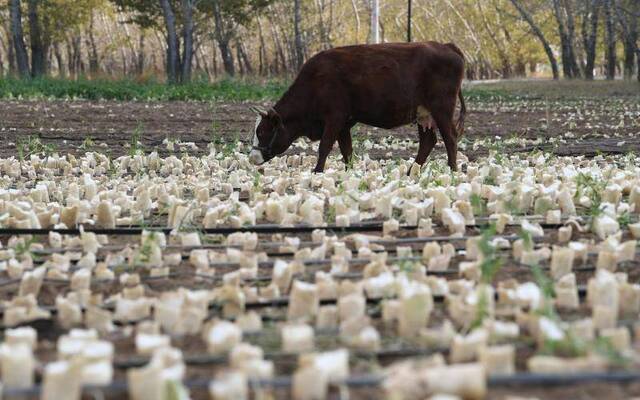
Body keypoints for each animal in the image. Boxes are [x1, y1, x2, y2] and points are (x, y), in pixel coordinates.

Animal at [249, 41, 464, 173]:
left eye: (262, 132)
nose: (252, 157)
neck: (315, 82)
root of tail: (445, 45)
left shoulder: (335, 118)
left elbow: (324, 146)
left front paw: (317, 171)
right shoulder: (344, 124)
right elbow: (347, 151)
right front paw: (349, 172)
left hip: (442, 109)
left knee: (450, 138)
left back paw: (453, 170)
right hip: (423, 114)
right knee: (428, 142)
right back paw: (412, 172)